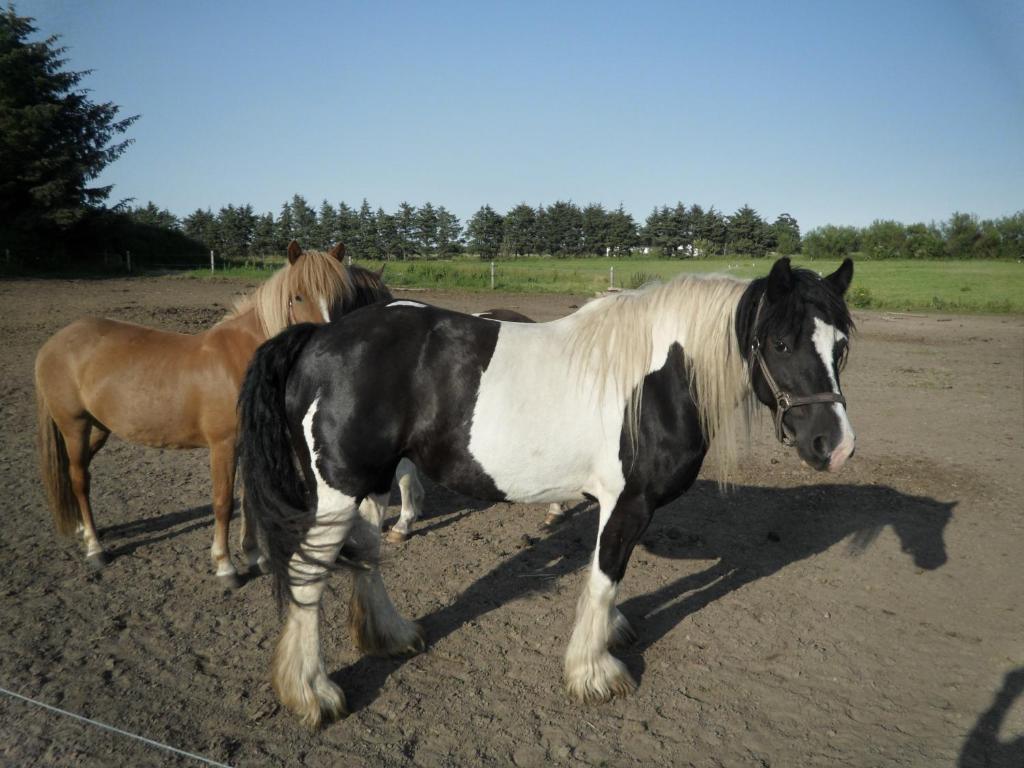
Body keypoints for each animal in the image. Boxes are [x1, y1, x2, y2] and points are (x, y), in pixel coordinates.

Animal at [34, 243, 389, 585]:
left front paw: (254, 556)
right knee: (79, 478)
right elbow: (223, 502)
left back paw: (82, 528)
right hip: (74, 426)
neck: (241, 361)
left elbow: (248, 502)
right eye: (297, 295)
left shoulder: (245, 445)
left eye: (344, 298)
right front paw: (225, 567)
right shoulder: (223, 446)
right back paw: (95, 547)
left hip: (98, 428)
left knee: (76, 471)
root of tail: (55, 342)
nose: (324, 347)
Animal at [239, 257, 856, 729]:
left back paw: (390, 635)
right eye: (780, 342)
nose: (835, 445)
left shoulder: (615, 506)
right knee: (307, 579)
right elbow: (605, 579)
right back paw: (312, 694)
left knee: (366, 555)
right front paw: (594, 672)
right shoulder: (628, 503)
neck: (657, 379)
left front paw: (610, 635)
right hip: (338, 492)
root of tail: (320, 337)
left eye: (842, 346)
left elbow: (605, 576)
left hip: (367, 483)